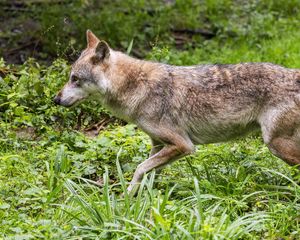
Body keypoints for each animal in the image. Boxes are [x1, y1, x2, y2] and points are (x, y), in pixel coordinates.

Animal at [54, 30, 300, 193]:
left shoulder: (182, 145)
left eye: (75, 79)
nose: (55, 99)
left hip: (276, 145)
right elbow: (148, 172)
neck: (135, 86)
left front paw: (126, 199)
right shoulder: (158, 145)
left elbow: (139, 169)